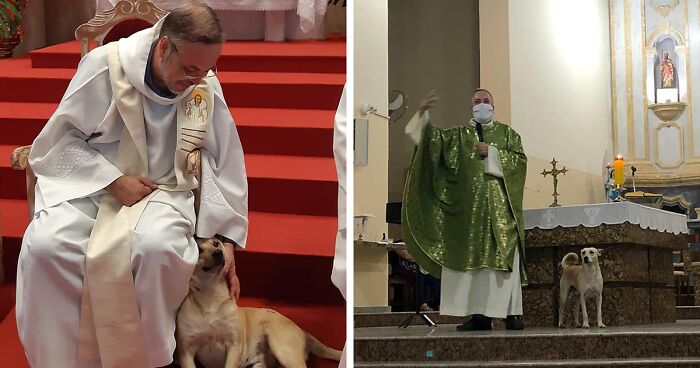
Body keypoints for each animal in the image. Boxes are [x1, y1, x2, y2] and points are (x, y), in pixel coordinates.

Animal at [174, 237, 340, 366]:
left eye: (216, 243)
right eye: (198, 250)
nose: (218, 253)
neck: (210, 294)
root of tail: (302, 331)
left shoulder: (234, 346)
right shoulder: (186, 351)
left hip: (283, 349)